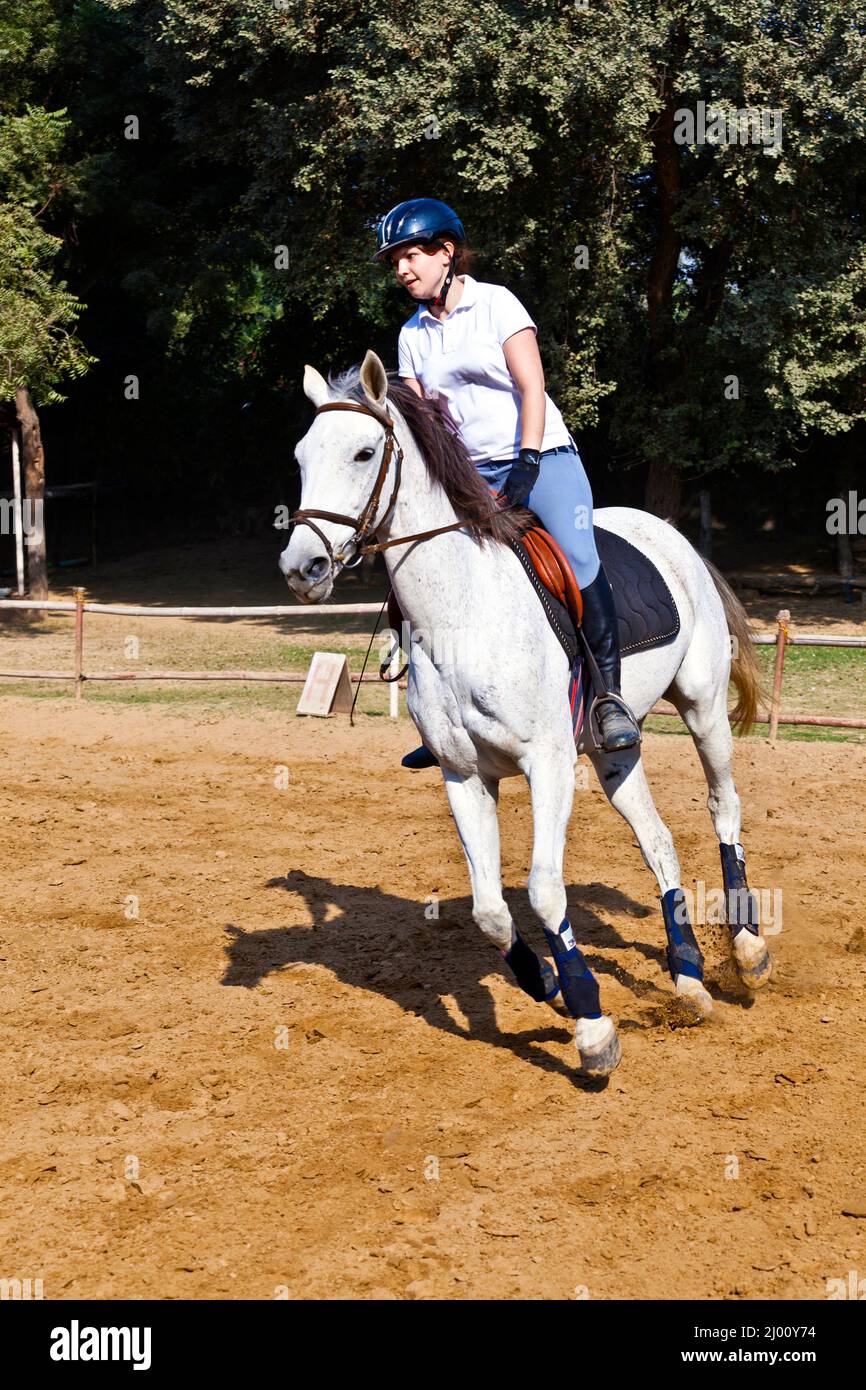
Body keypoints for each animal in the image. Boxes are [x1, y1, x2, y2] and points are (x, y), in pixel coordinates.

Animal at [279, 350, 771, 1076]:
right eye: (302, 456)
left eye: (365, 452)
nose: (303, 566)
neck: (461, 612)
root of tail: (671, 535)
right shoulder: (463, 775)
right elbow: (490, 910)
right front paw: (545, 983)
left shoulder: (549, 765)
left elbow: (542, 890)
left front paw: (591, 1024)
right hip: (612, 751)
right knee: (658, 841)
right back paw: (686, 978)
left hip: (702, 707)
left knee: (723, 807)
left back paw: (748, 946)